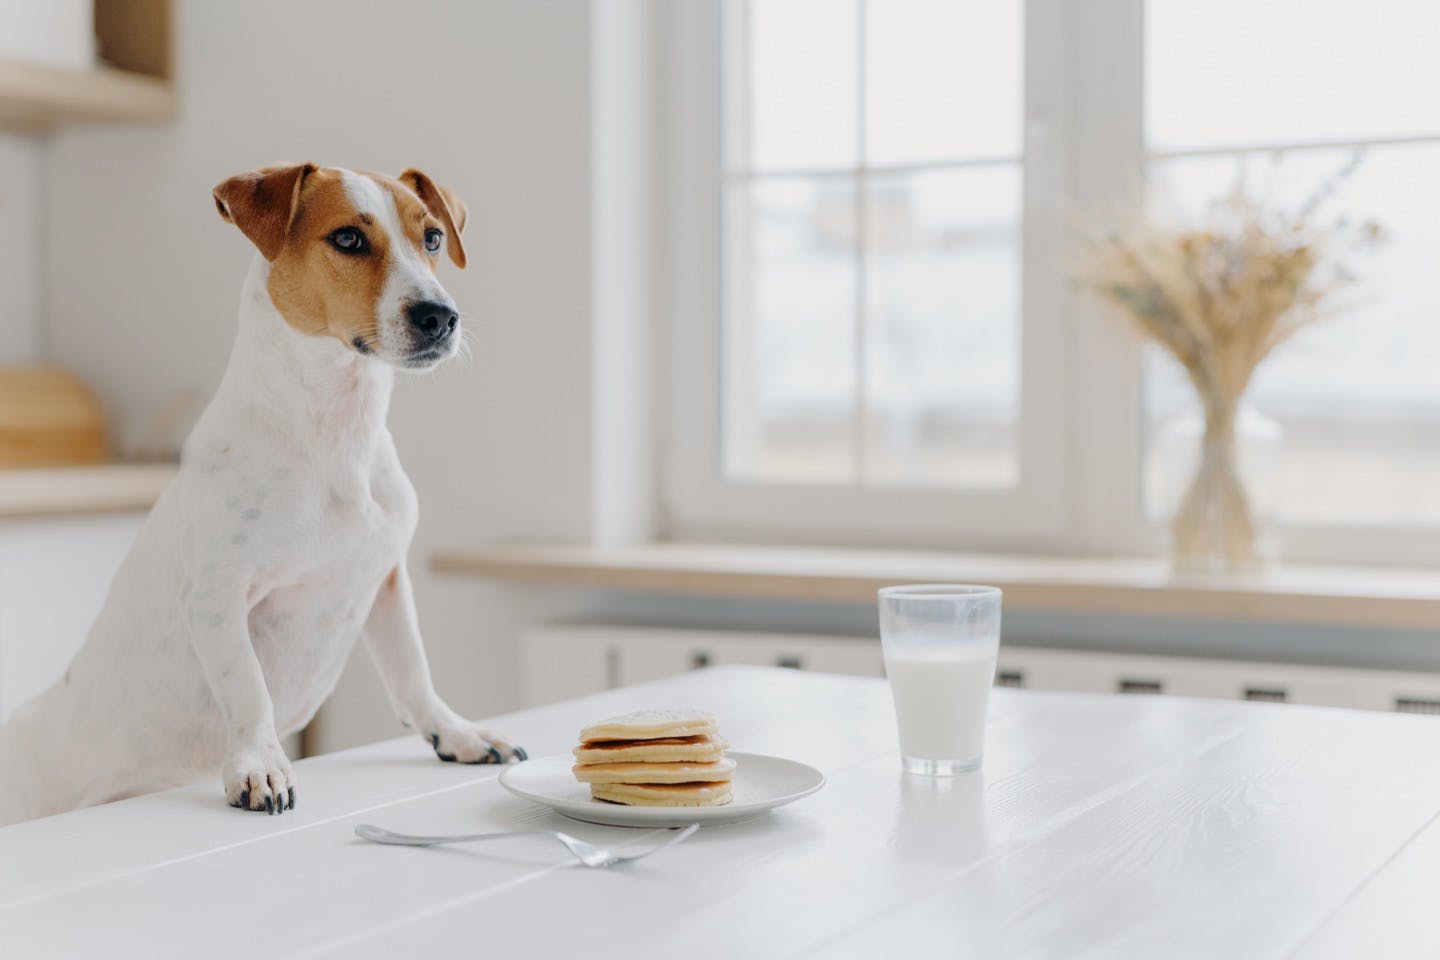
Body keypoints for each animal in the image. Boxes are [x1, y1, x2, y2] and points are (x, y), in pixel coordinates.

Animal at [0, 163, 524, 829]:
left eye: (431, 237)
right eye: (349, 238)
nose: (440, 316)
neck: (334, 433)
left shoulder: (384, 579)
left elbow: (412, 668)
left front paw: (455, 733)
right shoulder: (218, 598)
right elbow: (248, 688)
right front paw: (259, 766)